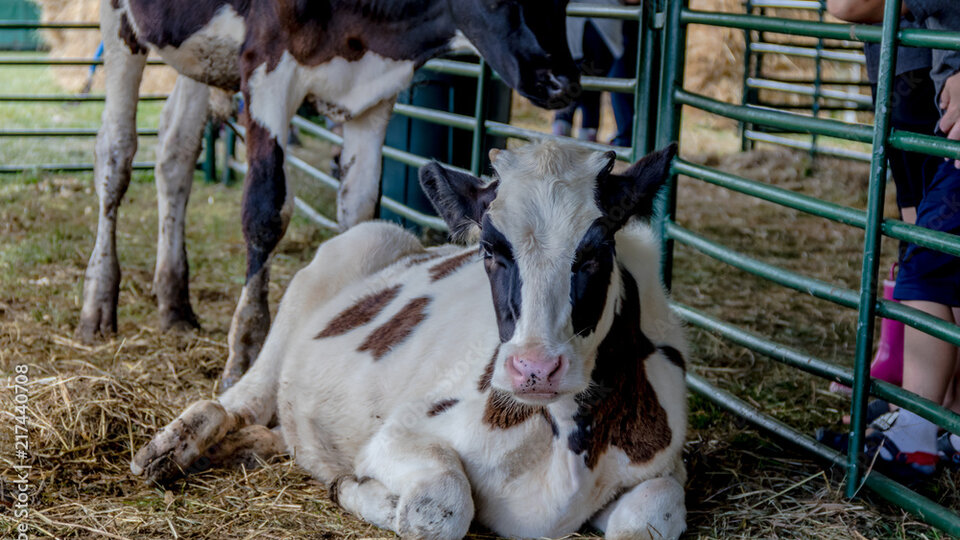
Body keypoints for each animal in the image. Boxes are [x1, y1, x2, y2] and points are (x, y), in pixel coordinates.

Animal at [80, 0, 576, 388]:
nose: (564, 82)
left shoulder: (372, 100)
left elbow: (360, 213)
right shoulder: (267, 67)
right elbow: (265, 211)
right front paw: (245, 349)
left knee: (175, 151)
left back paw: (174, 303)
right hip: (121, 28)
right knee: (115, 152)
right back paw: (98, 302)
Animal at [135, 140, 688, 540]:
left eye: (596, 250)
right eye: (490, 250)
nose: (534, 368)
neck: (564, 437)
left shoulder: (664, 470)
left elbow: (654, 516)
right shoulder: (399, 434)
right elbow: (438, 506)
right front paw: (361, 491)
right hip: (348, 255)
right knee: (238, 399)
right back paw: (170, 448)